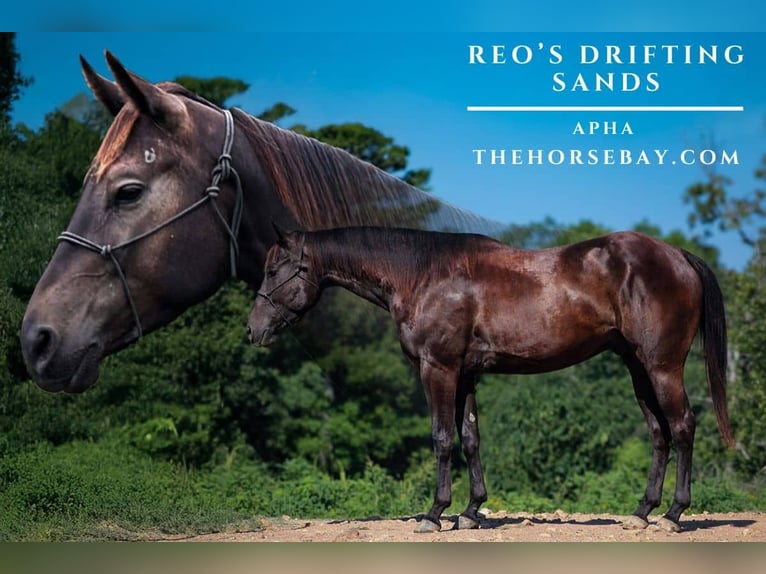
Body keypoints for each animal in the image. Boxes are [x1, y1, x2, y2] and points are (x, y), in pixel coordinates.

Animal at [247, 224, 733, 534]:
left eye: (273, 270)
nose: (252, 330)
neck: (424, 276)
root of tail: (677, 256)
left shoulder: (438, 368)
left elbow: (442, 438)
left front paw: (435, 514)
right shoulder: (466, 375)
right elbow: (470, 438)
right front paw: (471, 510)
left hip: (662, 366)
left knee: (683, 427)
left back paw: (673, 514)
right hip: (637, 368)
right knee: (659, 433)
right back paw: (642, 511)